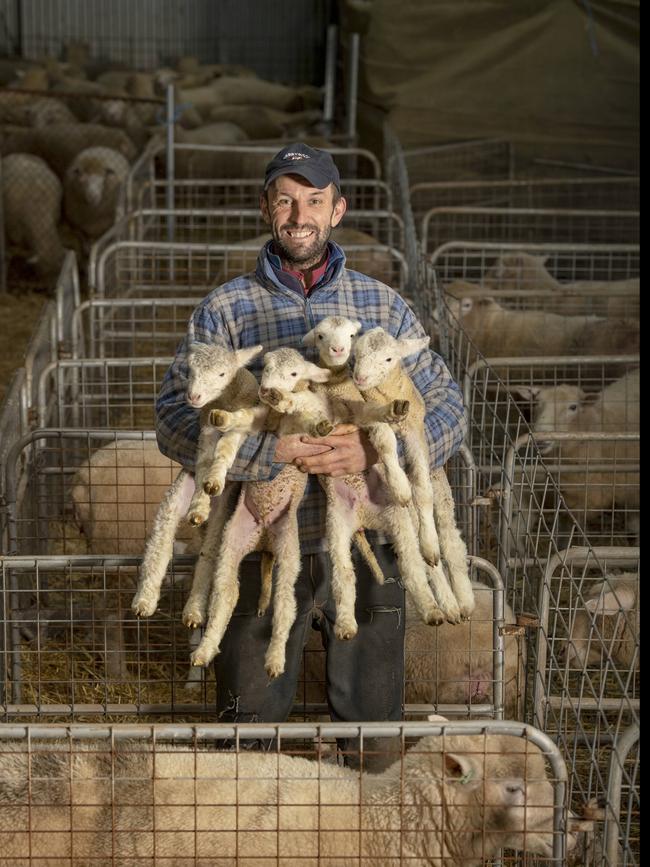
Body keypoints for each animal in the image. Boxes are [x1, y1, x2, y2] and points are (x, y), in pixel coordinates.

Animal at [352, 322, 474, 620]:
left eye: (388, 359)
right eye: (355, 353)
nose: (359, 378)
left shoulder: (417, 432)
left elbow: (423, 491)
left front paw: (430, 543)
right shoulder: (371, 419)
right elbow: (386, 443)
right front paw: (400, 484)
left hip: (441, 484)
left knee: (451, 541)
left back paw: (461, 601)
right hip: (395, 509)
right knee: (411, 547)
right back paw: (440, 604)